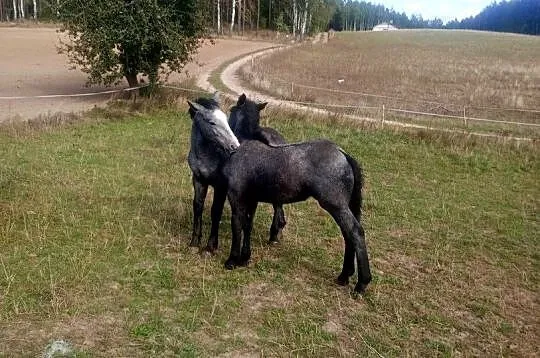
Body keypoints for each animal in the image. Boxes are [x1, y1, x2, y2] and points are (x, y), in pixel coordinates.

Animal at [192, 96, 374, 294]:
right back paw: (344, 276)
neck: (244, 148)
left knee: (355, 232)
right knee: (348, 235)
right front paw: (244, 258)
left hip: (336, 206)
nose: (231, 144)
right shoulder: (252, 200)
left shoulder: (237, 197)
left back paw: (361, 283)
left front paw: (232, 260)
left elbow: (237, 224)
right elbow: (248, 225)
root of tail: (343, 154)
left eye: (228, 114)